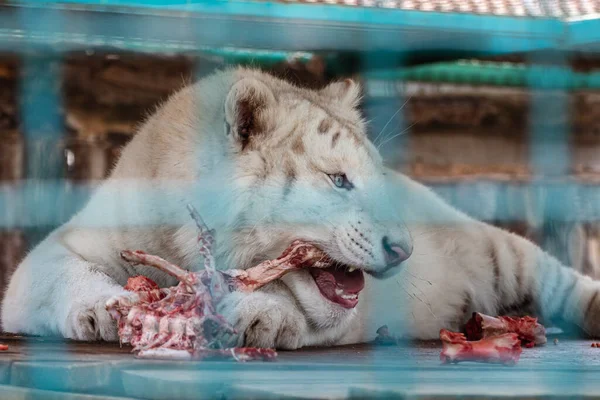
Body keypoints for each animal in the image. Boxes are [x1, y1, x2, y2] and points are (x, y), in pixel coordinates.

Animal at [2, 68, 596, 346]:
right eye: (338, 179)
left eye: (378, 180)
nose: (405, 249)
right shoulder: (53, 253)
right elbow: (63, 273)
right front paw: (104, 309)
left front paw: (256, 315)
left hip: (501, 250)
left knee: (563, 282)